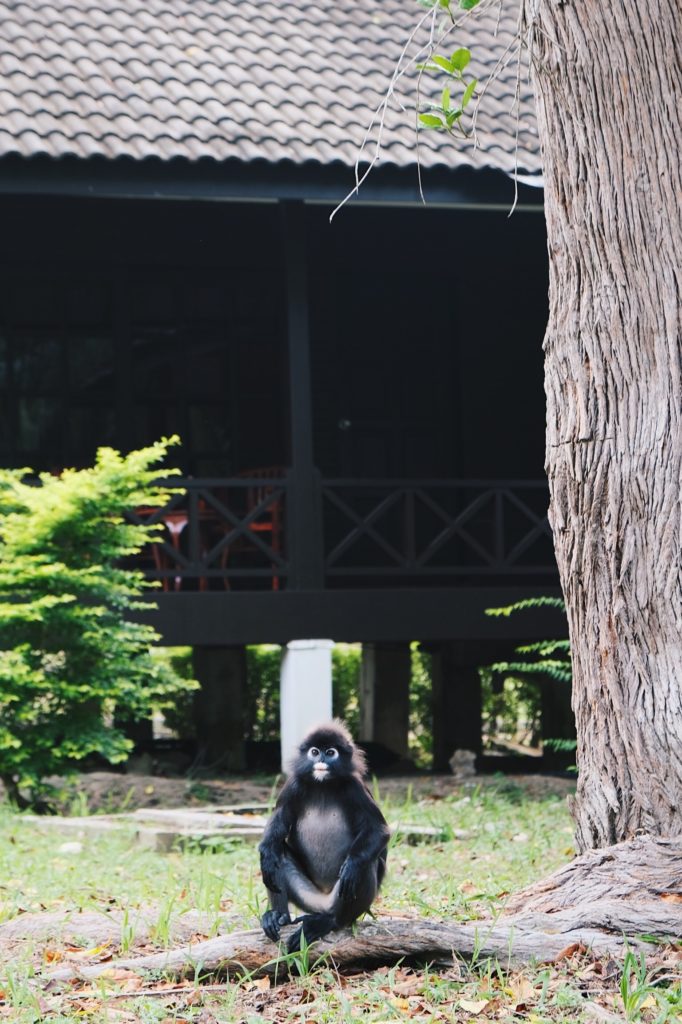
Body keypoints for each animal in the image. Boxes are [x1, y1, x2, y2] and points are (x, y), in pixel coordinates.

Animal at [258, 720, 390, 952]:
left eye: (330, 752)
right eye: (314, 751)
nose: (321, 760)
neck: (323, 784)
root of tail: (323, 901)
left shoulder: (355, 787)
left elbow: (378, 830)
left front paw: (352, 865)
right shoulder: (293, 785)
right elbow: (278, 823)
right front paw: (265, 855)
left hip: (339, 899)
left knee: (365, 865)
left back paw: (328, 921)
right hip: (307, 898)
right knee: (278, 852)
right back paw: (278, 916)